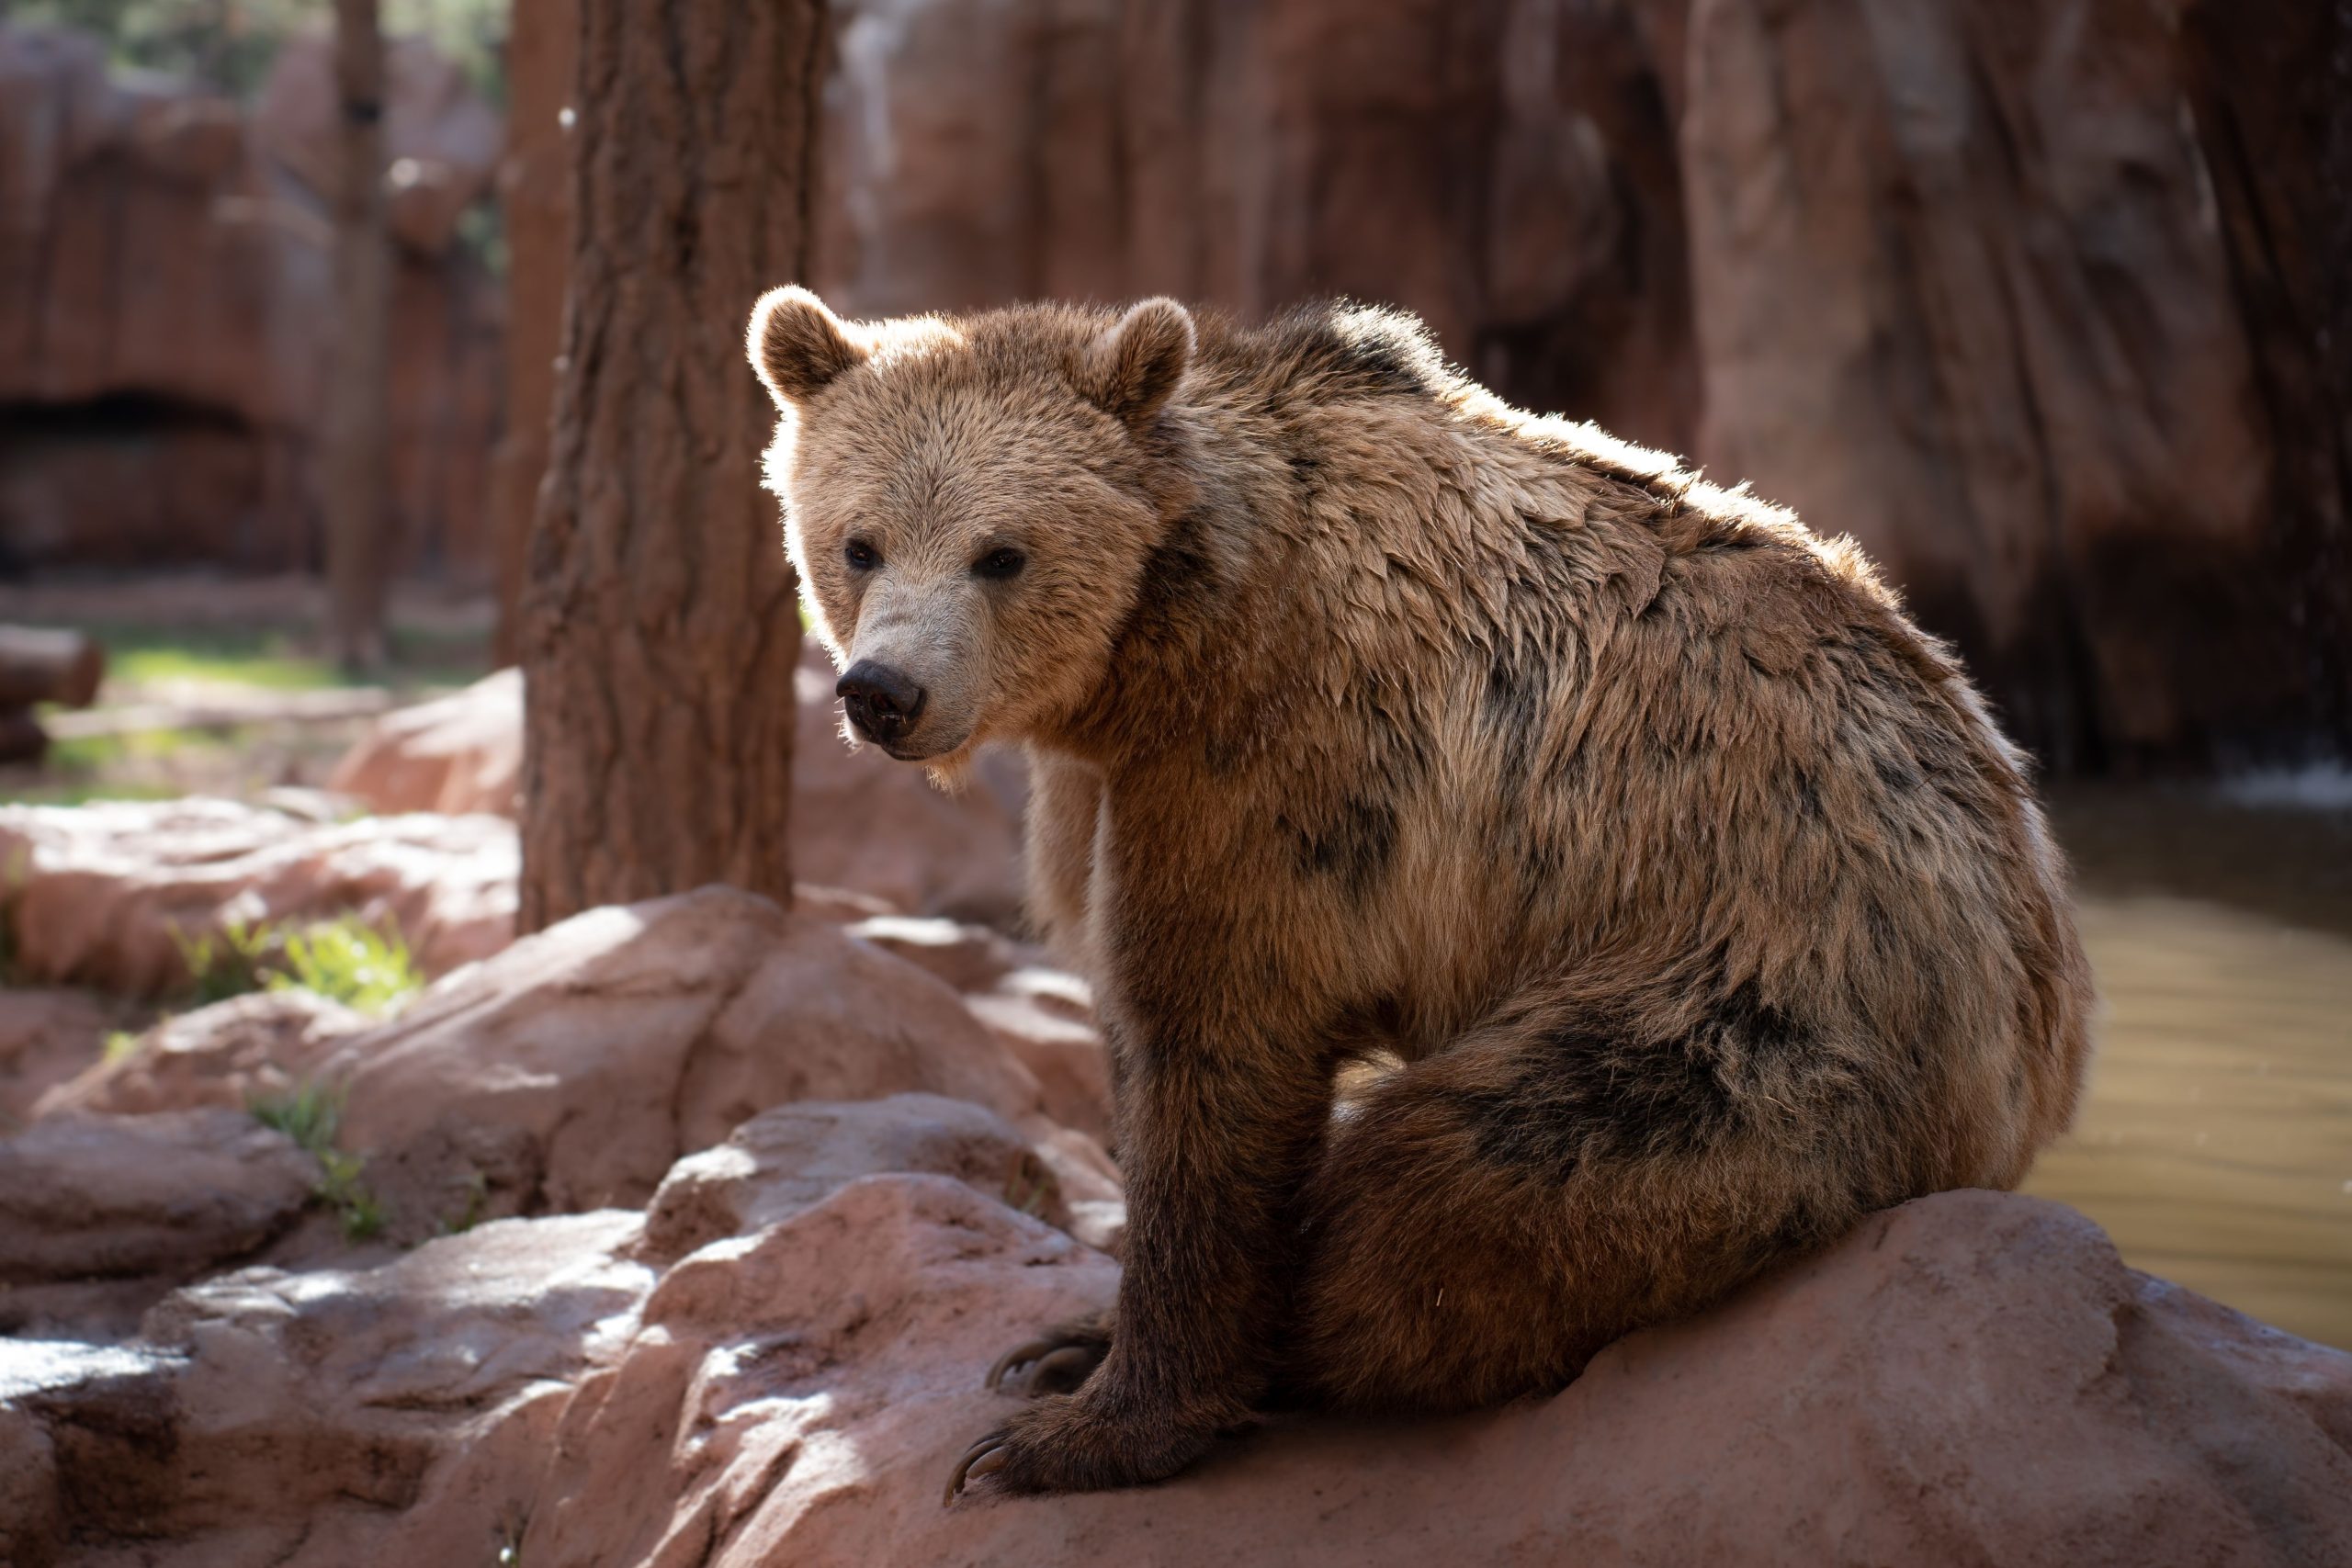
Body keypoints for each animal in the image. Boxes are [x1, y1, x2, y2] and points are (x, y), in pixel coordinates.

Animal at [746, 286, 2095, 1499]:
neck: (1167, 635)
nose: (884, 692)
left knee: (1458, 1174)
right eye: (858, 542)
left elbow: (1213, 1050)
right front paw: (1075, 1344)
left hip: (1763, 1003)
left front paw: (1079, 1429)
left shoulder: (1280, 765)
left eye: (1002, 554)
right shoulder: (1113, 783)